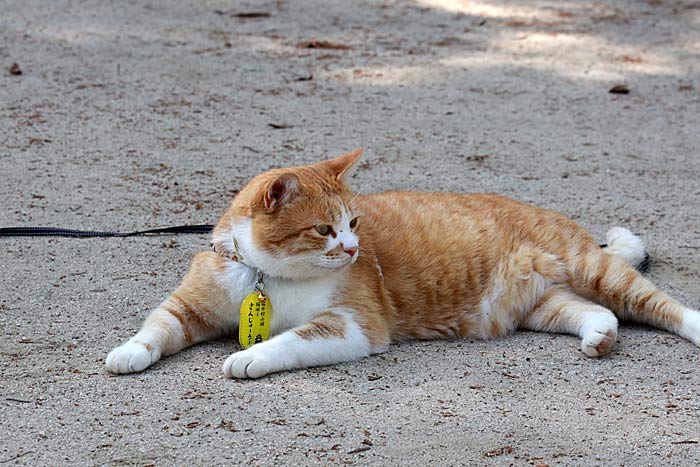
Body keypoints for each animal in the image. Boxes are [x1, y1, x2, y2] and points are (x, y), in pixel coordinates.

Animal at [104, 150, 700, 380]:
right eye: (325, 229)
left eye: (354, 223)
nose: (351, 250)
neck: (266, 277)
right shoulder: (193, 304)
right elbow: (158, 325)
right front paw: (130, 353)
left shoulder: (353, 324)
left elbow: (289, 340)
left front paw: (249, 358)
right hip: (541, 306)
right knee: (597, 314)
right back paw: (599, 336)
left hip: (592, 270)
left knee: (657, 304)